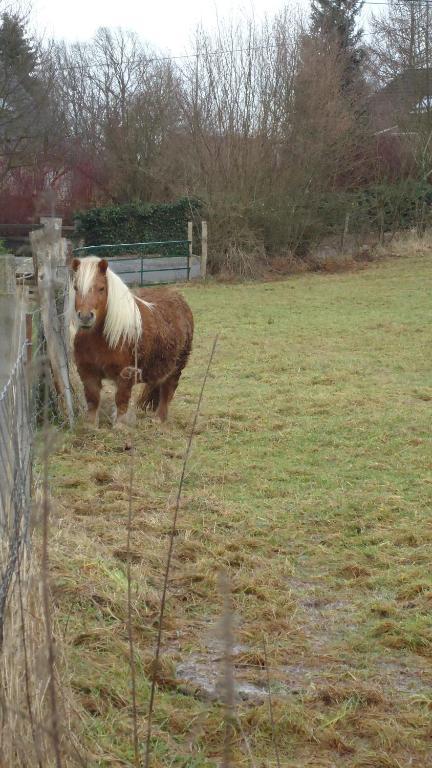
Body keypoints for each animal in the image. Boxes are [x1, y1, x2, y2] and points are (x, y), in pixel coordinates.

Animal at [71, 258, 194, 426]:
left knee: (168, 388)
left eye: (101, 288)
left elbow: (121, 399)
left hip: (178, 364)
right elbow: (92, 399)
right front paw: (91, 425)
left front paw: (120, 425)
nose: (85, 317)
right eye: (76, 288)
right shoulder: (87, 371)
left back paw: (159, 419)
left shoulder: (125, 374)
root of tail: (179, 298)